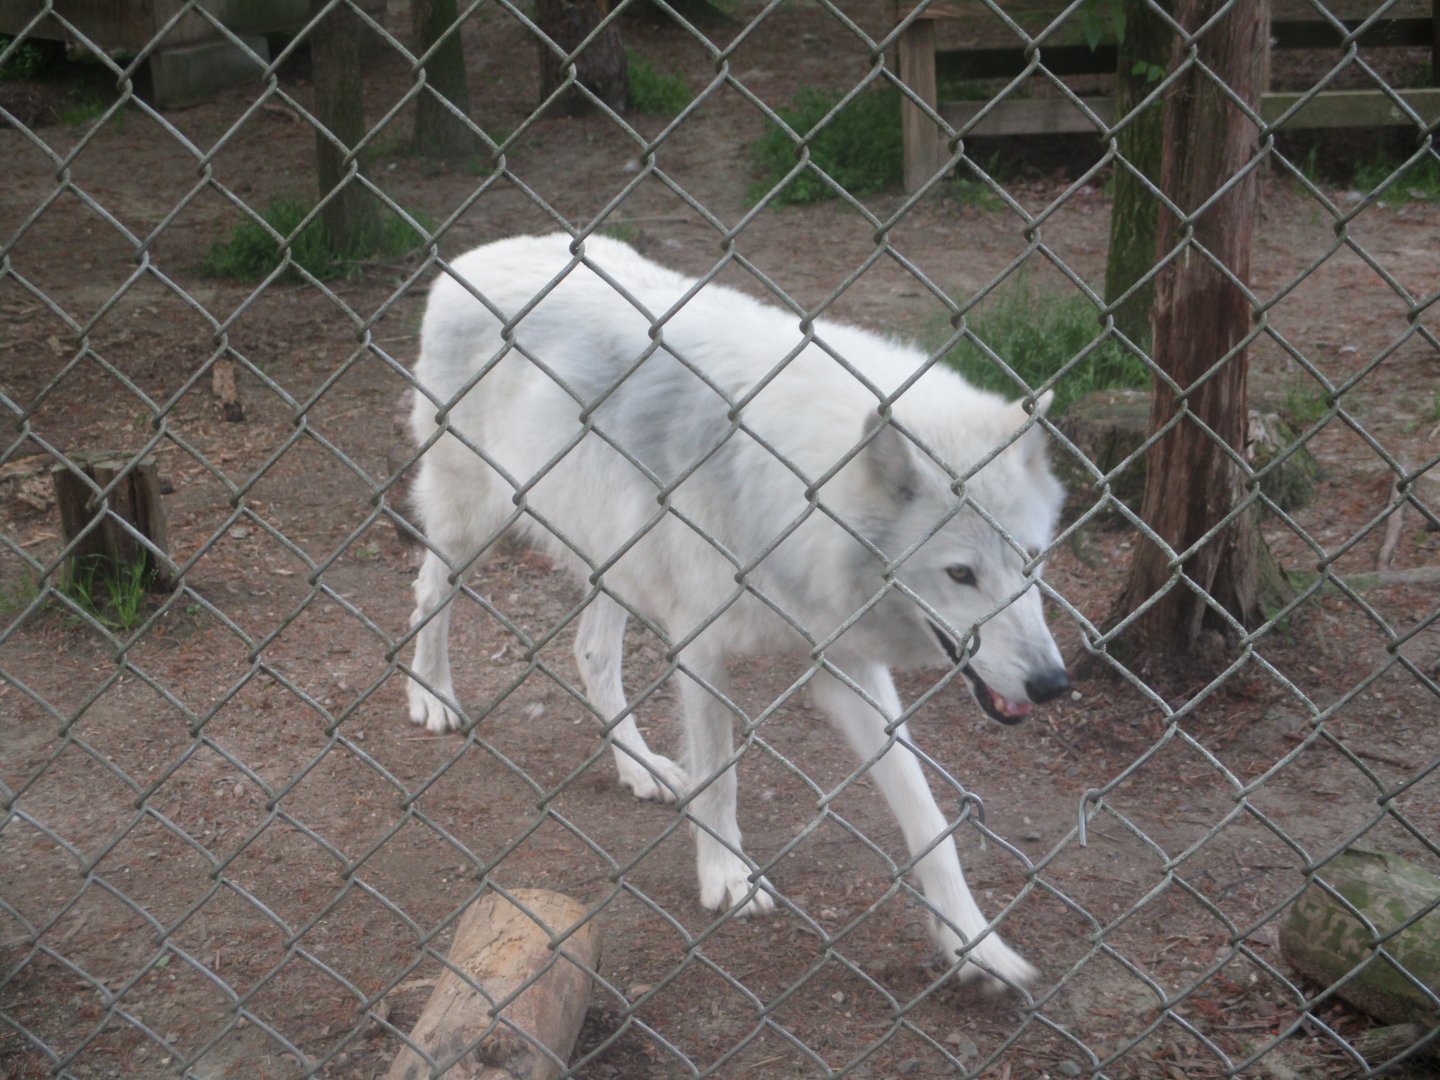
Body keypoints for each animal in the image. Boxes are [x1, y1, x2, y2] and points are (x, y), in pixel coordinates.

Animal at [404, 233, 1070, 989]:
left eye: (1032, 560)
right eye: (961, 574)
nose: (1052, 683)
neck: (792, 497)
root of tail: (475, 256)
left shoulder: (842, 662)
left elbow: (929, 817)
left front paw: (974, 941)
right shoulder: (701, 645)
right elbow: (720, 777)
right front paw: (727, 877)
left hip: (611, 557)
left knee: (591, 653)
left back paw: (641, 767)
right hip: (475, 521)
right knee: (430, 592)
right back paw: (432, 695)